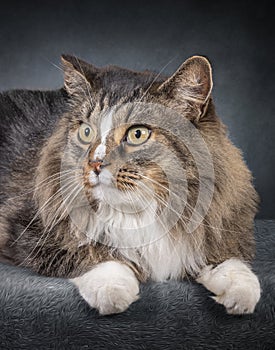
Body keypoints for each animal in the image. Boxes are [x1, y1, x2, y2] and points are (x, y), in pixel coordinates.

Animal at [0, 54, 260, 314]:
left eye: (137, 134)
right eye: (86, 132)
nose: (95, 163)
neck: (137, 212)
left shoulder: (217, 228)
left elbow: (229, 262)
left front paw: (242, 293)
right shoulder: (30, 230)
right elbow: (94, 254)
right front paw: (113, 291)